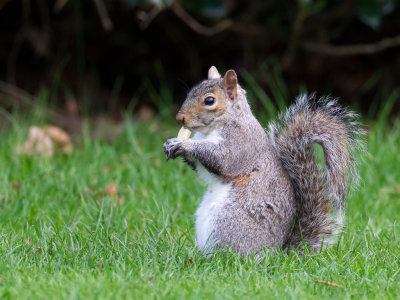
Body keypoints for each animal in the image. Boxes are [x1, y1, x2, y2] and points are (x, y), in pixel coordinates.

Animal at [162, 65, 362, 255]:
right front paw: (170, 143)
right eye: (190, 93)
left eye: (209, 101)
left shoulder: (241, 143)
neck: (212, 129)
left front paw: (185, 145)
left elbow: (223, 159)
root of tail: (276, 254)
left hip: (229, 223)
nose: (179, 118)